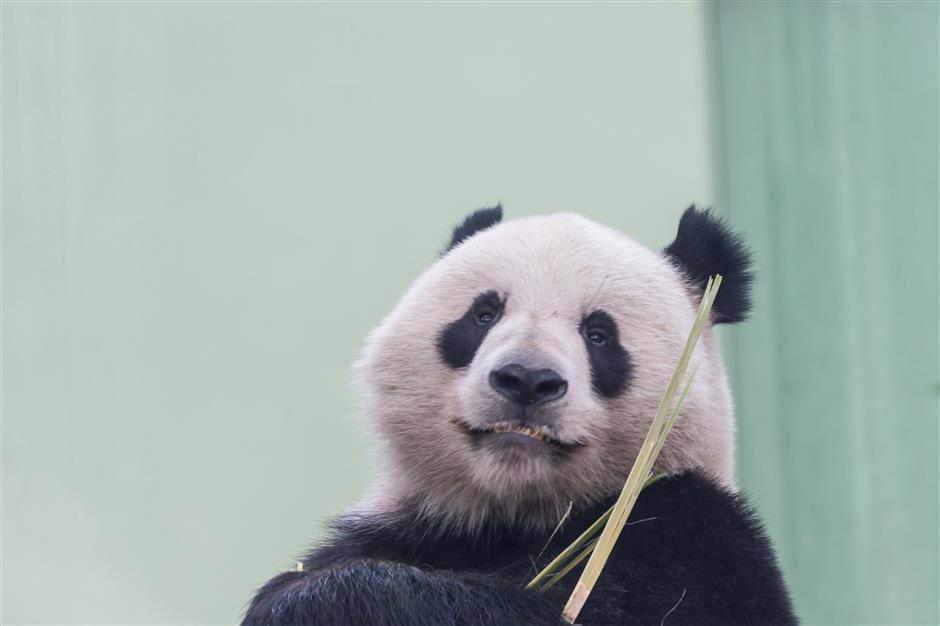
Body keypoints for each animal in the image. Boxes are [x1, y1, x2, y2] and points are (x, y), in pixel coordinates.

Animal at [246, 206, 796, 624]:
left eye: (599, 334)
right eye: (483, 314)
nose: (526, 379)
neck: (515, 516)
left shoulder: (698, 540)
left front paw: (328, 598)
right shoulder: (414, 528)